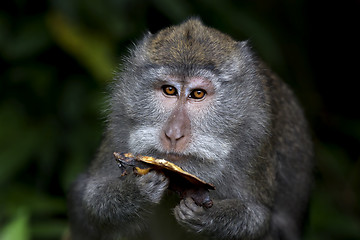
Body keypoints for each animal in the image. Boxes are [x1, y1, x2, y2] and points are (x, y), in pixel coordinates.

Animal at [67, 19, 312, 240]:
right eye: (169, 90)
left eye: (197, 94)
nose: (174, 134)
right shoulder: (119, 123)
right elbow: (90, 199)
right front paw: (136, 192)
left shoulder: (255, 142)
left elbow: (260, 219)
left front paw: (209, 218)